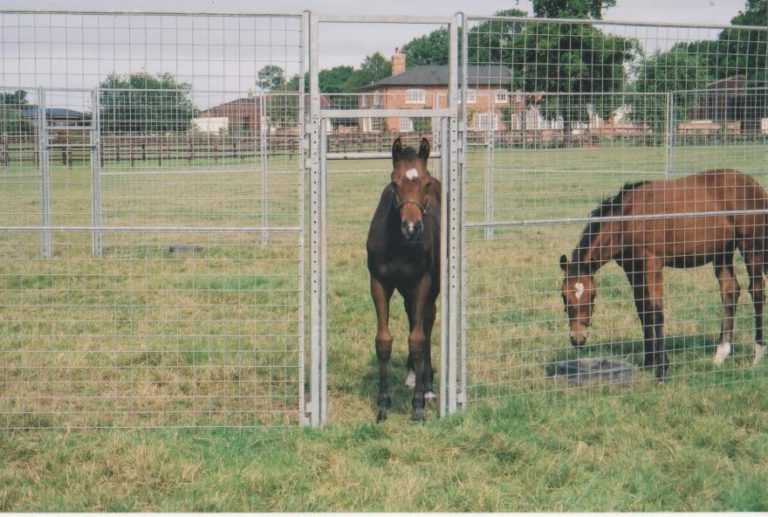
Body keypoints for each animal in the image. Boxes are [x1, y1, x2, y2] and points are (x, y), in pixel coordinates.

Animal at [367, 137, 441, 422]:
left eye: (426, 183)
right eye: (394, 183)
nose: (411, 228)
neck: (400, 245)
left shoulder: (422, 283)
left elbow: (418, 340)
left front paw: (418, 404)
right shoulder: (378, 283)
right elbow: (383, 342)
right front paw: (383, 404)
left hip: (431, 286)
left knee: (427, 323)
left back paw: (428, 386)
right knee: (413, 317)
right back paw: (411, 375)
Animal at [560, 169, 767, 380]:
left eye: (592, 295)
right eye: (564, 296)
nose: (577, 338)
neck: (629, 218)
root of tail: (755, 186)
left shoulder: (653, 264)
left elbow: (657, 310)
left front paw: (662, 369)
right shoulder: (633, 269)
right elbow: (643, 309)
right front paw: (648, 362)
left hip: (752, 246)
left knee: (757, 291)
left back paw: (757, 354)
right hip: (722, 253)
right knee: (730, 292)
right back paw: (721, 353)